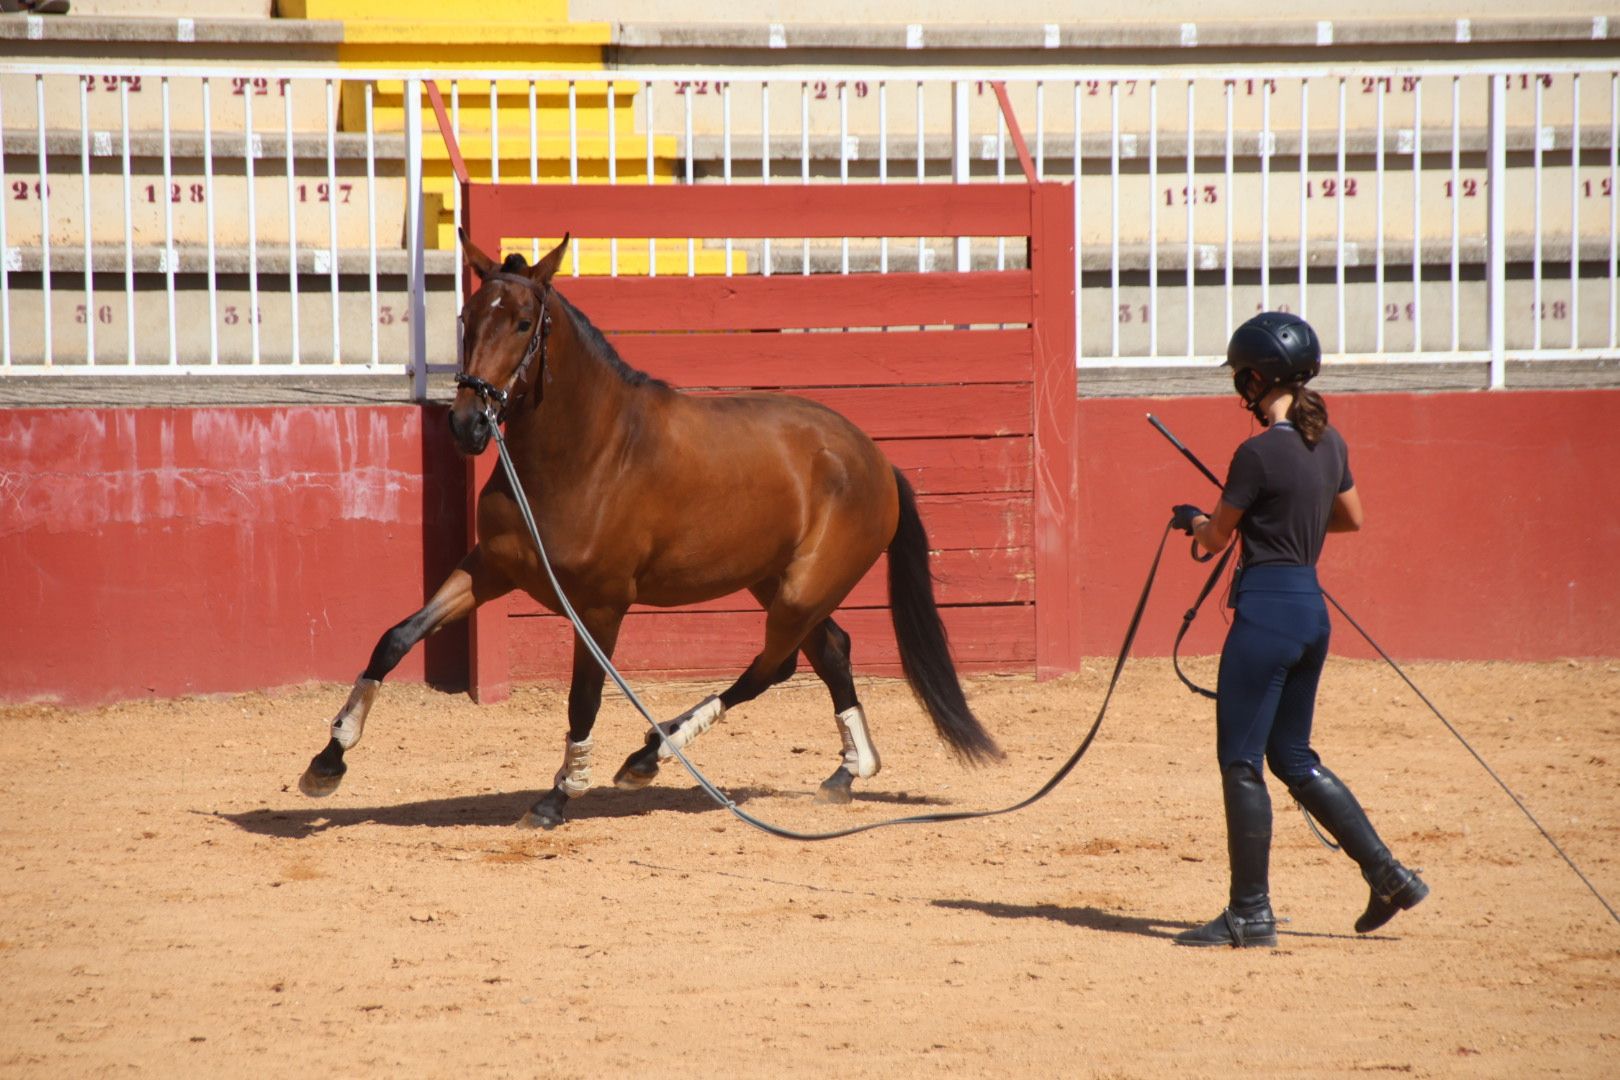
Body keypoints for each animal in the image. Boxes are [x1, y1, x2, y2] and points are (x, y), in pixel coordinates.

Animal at [296, 234, 991, 829]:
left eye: (522, 323)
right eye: (466, 316)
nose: (467, 425)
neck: (588, 456)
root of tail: (875, 458)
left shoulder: (600, 608)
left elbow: (582, 701)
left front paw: (556, 798)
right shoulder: (489, 569)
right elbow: (395, 638)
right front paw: (328, 761)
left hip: (801, 591)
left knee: (773, 667)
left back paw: (650, 755)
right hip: (779, 585)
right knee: (830, 652)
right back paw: (847, 771)